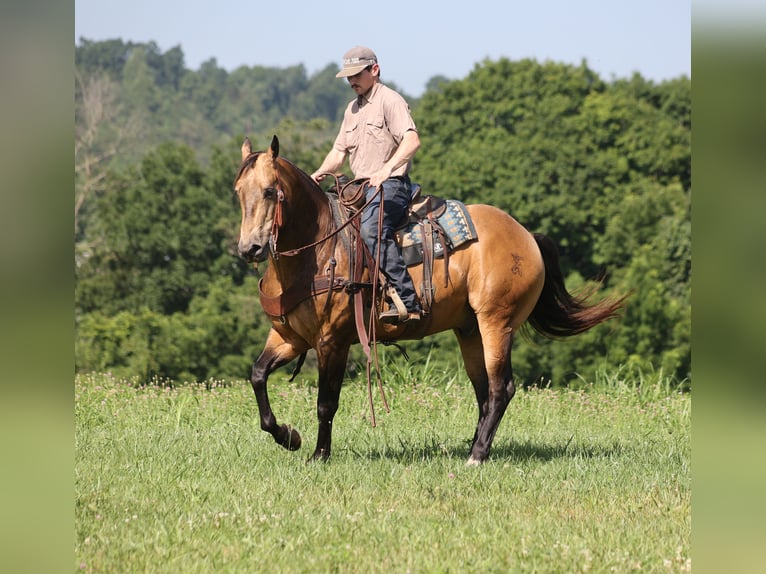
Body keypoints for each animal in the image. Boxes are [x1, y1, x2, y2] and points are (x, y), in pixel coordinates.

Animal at [234, 135, 625, 465]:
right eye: (238, 191)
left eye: (269, 191)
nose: (249, 248)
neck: (319, 249)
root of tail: (527, 235)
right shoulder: (290, 337)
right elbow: (257, 375)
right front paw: (288, 436)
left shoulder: (333, 340)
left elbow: (326, 403)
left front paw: (319, 455)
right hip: (469, 330)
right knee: (484, 391)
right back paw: (474, 446)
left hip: (496, 323)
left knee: (501, 388)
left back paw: (477, 456)